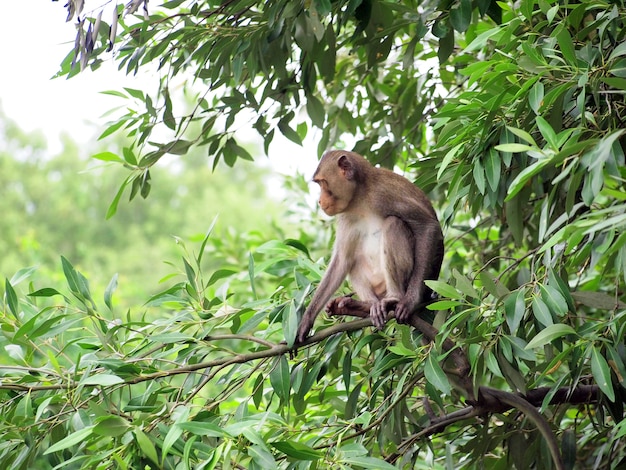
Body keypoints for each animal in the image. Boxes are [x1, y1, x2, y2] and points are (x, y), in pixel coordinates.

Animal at [294, 152, 442, 344]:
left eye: (322, 183)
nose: (320, 201)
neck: (360, 199)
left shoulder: (384, 194)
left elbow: (428, 227)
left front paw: (411, 301)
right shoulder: (346, 216)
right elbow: (341, 261)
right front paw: (306, 320)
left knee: (393, 224)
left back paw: (394, 299)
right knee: (352, 259)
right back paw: (362, 307)